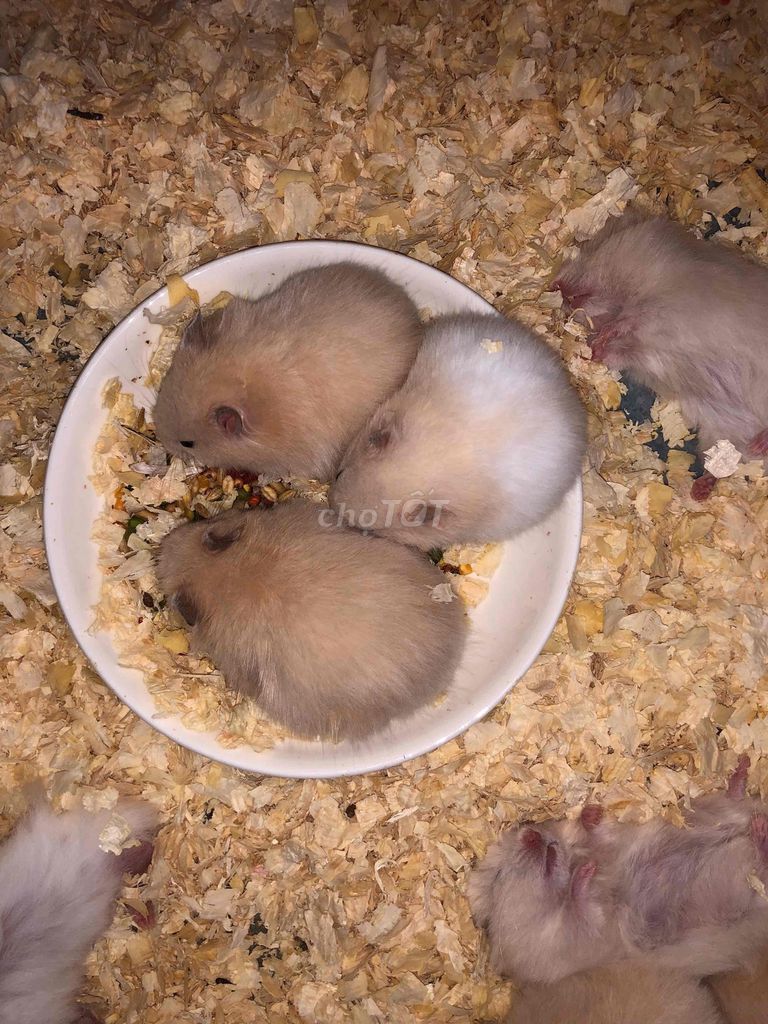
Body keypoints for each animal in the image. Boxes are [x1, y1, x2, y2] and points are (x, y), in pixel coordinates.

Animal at [553, 210, 768, 500]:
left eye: (593, 247)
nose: (556, 285)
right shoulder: (641, 353)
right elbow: (616, 350)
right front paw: (591, 351)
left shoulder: (659, 309)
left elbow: (626, 322)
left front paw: (599, 339)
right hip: (720, 429)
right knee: (724, 464)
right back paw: (701, 490)